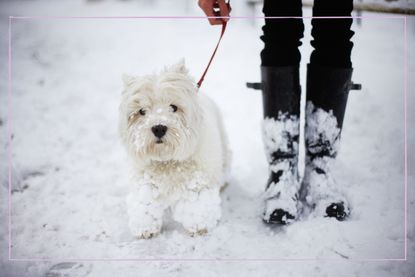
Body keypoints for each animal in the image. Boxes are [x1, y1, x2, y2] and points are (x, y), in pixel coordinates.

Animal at [119, 58, 231, 237]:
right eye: (142, 111)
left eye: (173, 107)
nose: (159, 128)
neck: (167, 161)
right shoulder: (145, 182)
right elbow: (145, 205)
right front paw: (145, 229)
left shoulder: (197, 182)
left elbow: (197, 206)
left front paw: (199, 227)